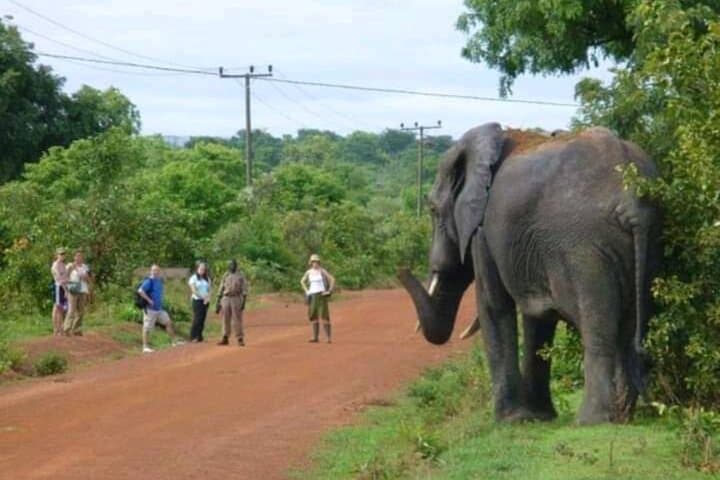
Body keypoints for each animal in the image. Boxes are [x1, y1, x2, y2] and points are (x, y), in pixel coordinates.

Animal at [400, 123, 661, 425]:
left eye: (432, 209)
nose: (401, 270)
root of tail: (632, 199)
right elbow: (538, 317)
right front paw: (539, 416)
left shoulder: (483, 231)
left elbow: (494, 305)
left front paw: (510, 420)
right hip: (645, 244)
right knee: (628, 324)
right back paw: (621, 416)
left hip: (584, 247)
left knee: (596, 323)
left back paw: (591, 420)